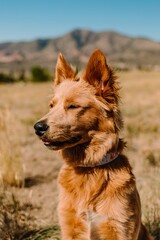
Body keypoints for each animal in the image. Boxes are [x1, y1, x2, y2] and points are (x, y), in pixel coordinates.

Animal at [33, 49, 152, 239]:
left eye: (73, 106)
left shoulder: (119, 226)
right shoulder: (69, 227)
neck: (90, 169)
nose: (38, 127)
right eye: (51, 105)